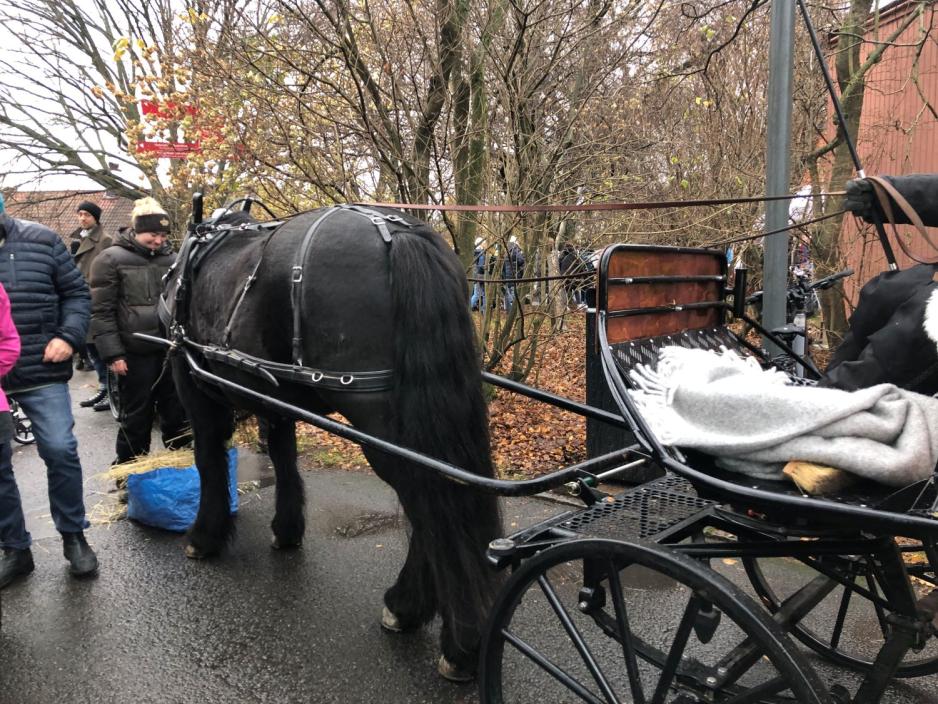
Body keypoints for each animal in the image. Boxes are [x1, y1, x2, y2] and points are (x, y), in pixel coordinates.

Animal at [163, 206, 498, 680]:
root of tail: (399, 234)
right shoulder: (275, 398)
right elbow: (284, 457)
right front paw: (287, 530)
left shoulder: (193, 386)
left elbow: (209, 461)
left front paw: (204, 537)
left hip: (379, 424)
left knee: (429, 499)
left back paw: (439, 629)